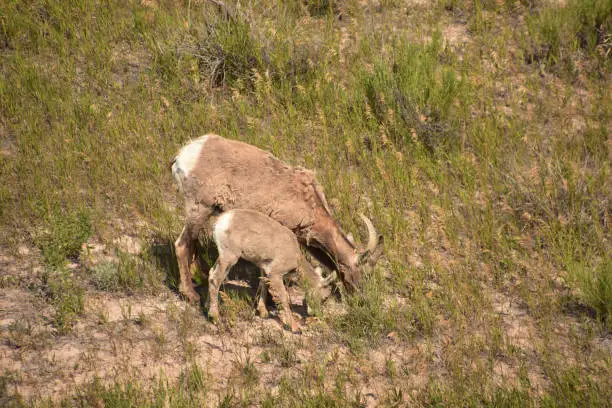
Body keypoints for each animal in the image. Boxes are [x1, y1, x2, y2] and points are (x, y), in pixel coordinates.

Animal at [172, 134, 382, 302]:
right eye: (362, 270)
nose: (360, 298)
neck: (309, 204)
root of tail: (183, 156)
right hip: (199, 208)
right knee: (182, 244)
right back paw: (191, 295)